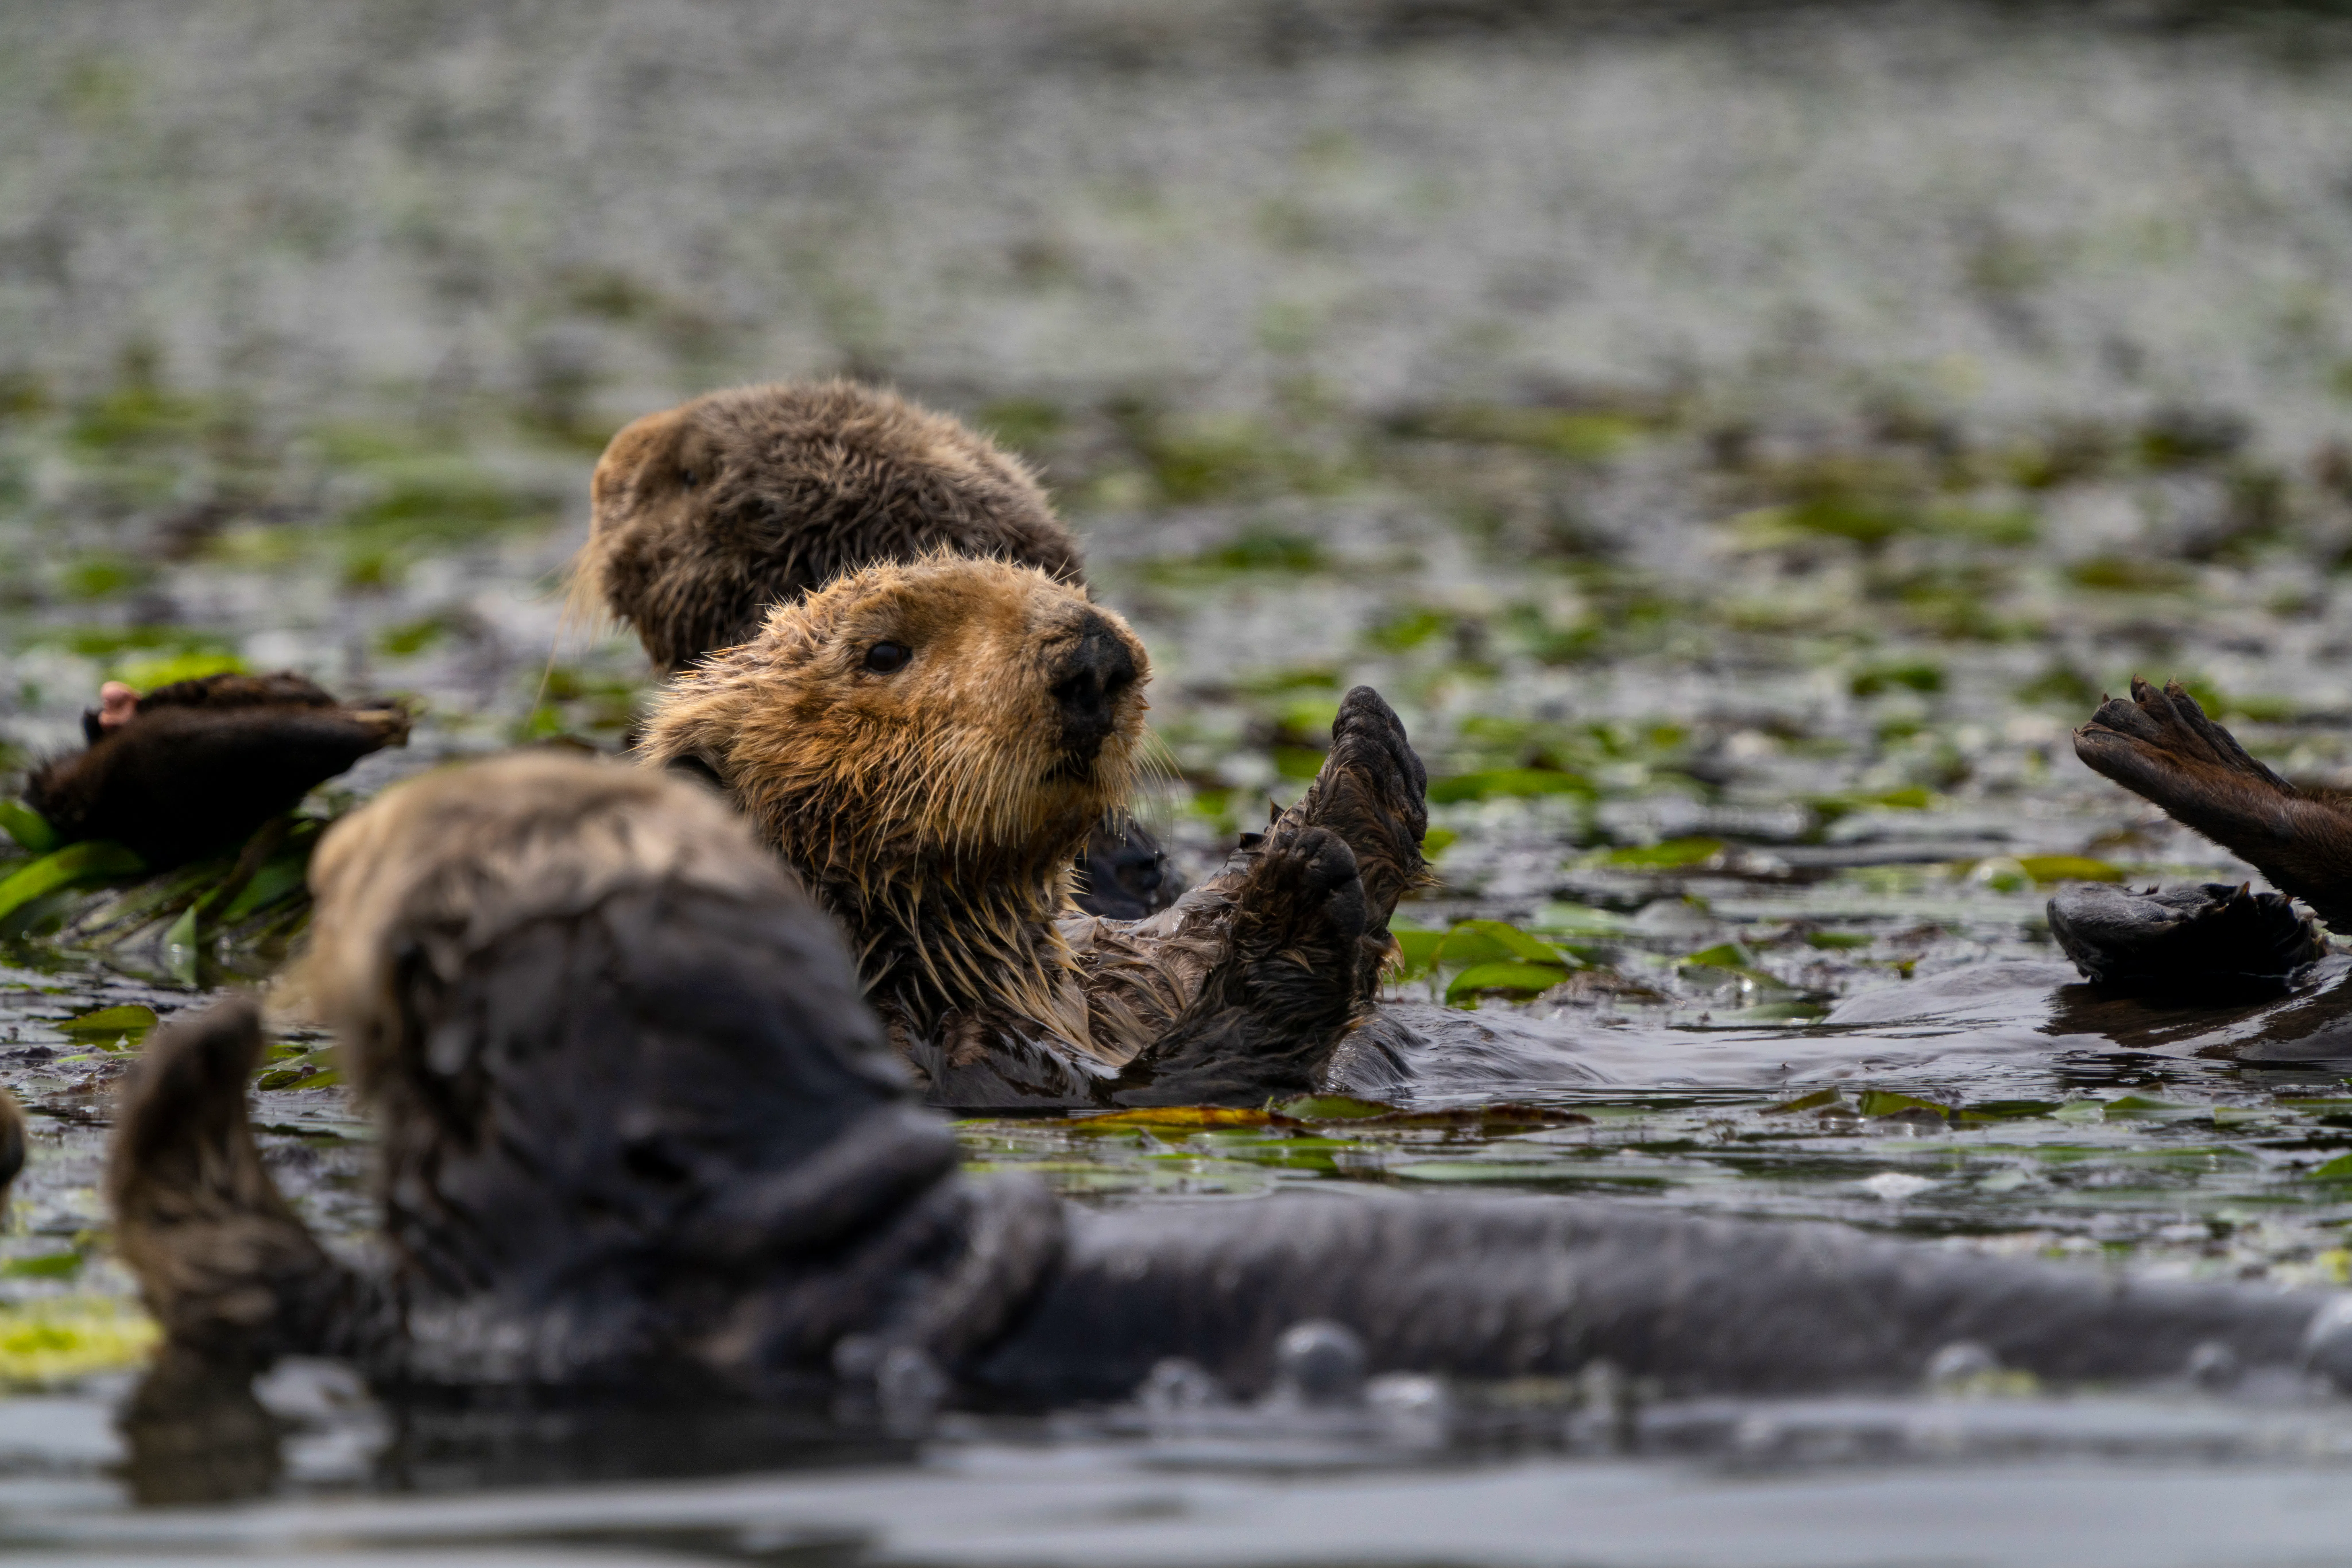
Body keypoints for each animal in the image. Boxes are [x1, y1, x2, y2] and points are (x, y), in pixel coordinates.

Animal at [637, 553, 1426, 1107]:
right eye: (884, 652)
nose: (1094, 656)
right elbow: (1165, 1084)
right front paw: (1297, 892)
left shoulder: (1117, 978)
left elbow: (1172, 954)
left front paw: (1362, 756)